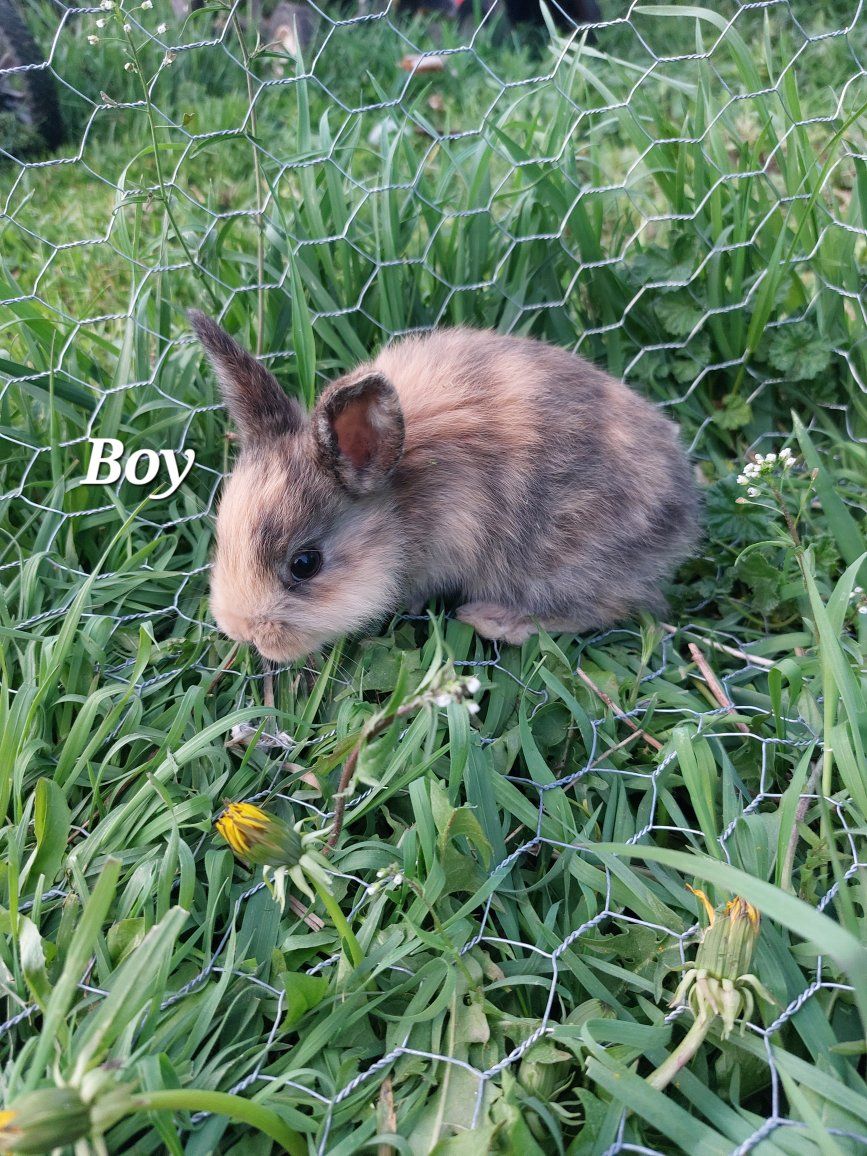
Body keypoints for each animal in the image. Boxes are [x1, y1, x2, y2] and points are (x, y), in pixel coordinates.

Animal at [191, 312, 700, 662]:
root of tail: (683, 511)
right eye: (222, 536)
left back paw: (492, 620)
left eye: (305, 564)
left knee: (606, 608)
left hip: (562, 565)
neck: (400, 498)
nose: (241, 631)